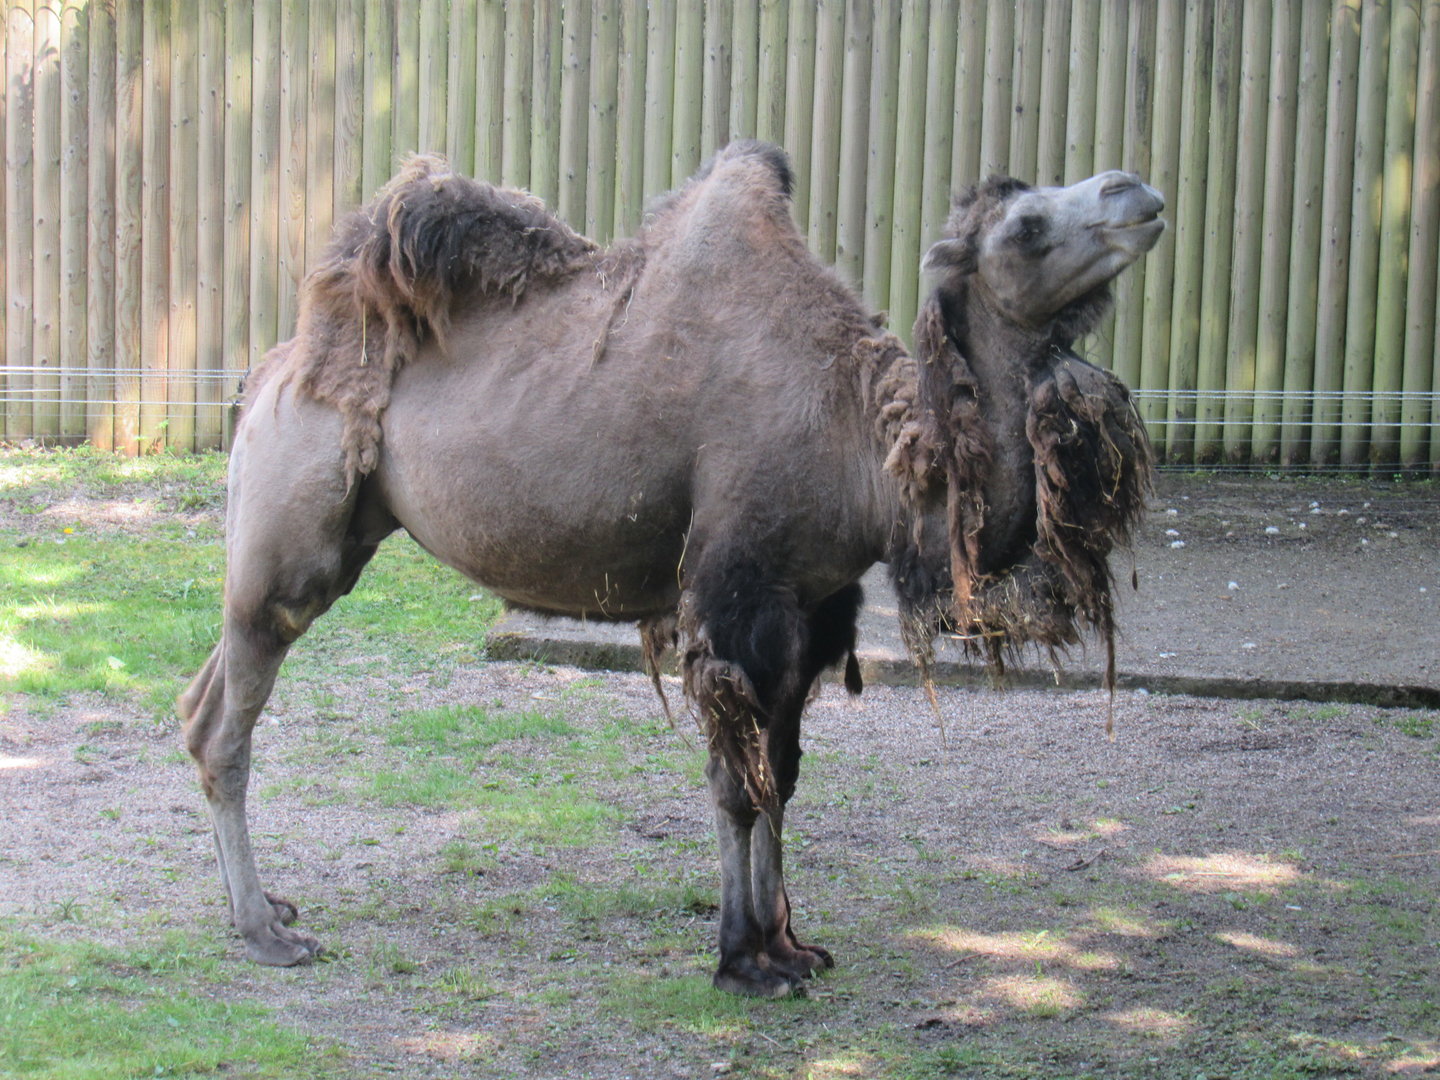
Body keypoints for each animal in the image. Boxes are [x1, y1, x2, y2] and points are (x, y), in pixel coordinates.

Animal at [178, 142, 1164, 998]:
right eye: (1026, 224)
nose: (1137, 192)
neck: (861, 439)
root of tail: (268, 375)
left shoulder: (815, 603)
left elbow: (782, 772)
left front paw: (791, 946)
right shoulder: (737, 587)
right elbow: (735, 781)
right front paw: (743, 961)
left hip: (324, 538)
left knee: (198, 701)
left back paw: (264, 908)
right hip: (291, 527)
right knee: (231, 716)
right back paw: (266, 934)